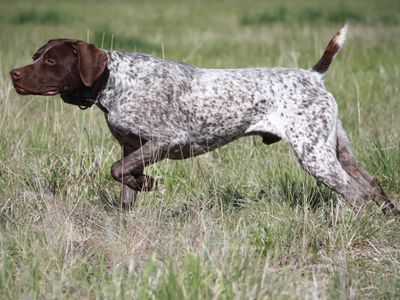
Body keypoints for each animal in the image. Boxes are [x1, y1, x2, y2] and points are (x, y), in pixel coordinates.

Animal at [9, 25, 396, 213]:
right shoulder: (131, 148)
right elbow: (124, 185)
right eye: (36, 55)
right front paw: (138, 193)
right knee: (373, 184)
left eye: (51, 61)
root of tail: (313, 75)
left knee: (357, 193)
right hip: (335, 148)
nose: (13, 74)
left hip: (314, 155)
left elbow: (117, 172)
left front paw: (149, 183)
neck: (113, 82)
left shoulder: (166, 140)